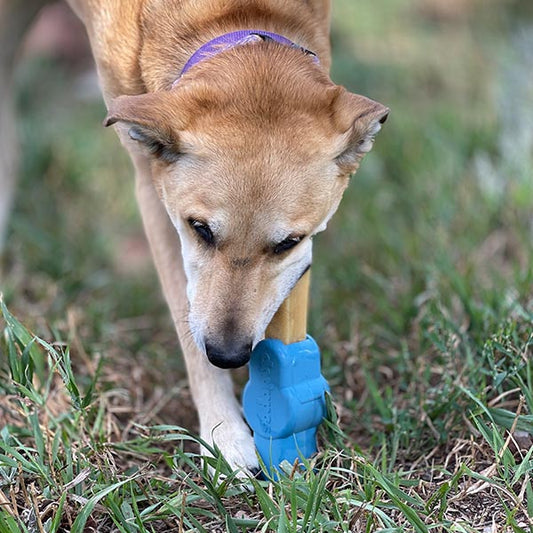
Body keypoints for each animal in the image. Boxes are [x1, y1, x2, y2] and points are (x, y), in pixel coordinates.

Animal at [0, 0, 386, 474]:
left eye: (287, 243)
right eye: (199, 229)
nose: (229, 355)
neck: (237, 24)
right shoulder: (154, 191)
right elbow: (187, 321)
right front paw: (225, 436)